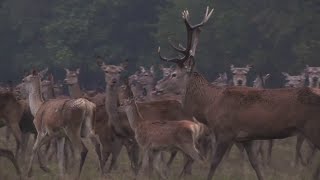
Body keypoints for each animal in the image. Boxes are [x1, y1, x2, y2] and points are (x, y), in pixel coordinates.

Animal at [157, 6, 320, 179]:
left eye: (174, 74)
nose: (157, 87)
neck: (210, 105)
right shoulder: (246, 138)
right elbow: (255, 164)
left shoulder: (225, 132)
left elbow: (214, 163)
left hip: (312, 126)